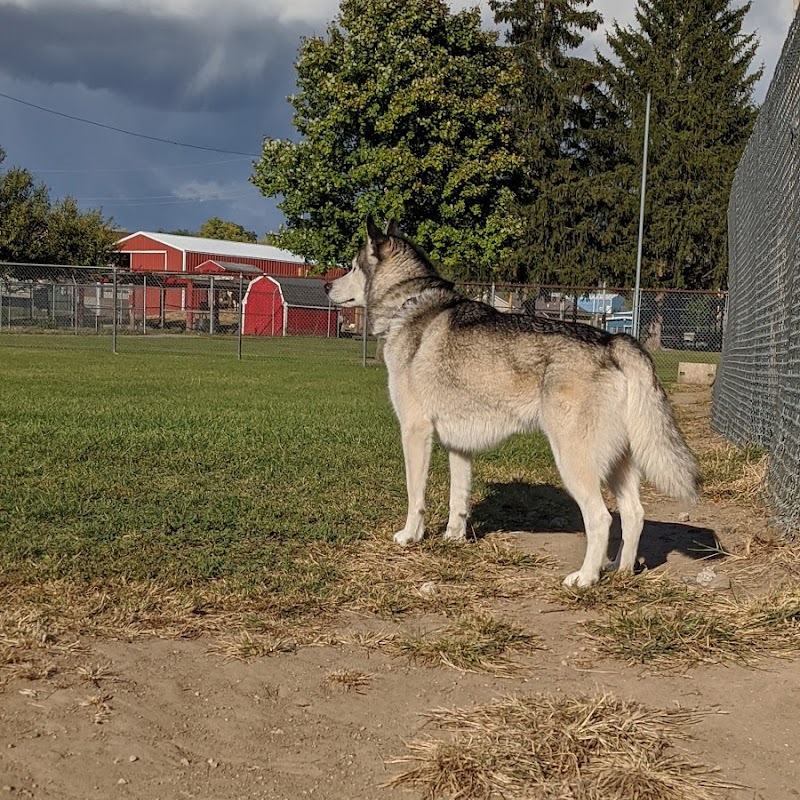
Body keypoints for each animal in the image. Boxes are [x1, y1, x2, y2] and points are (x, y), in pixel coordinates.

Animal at [324, 219, 700, 588]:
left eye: (353, 266)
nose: (326, 286)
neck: (408, 302)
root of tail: (615, 340)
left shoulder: (415, 433)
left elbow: (415, 494)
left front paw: (409, 536)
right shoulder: (459, 446)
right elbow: (458, 499)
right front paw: (453, 539)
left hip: (574, 462)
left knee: (601, 518)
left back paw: (585, 578)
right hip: (617, 464)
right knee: (634, 514)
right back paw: (620, 572)